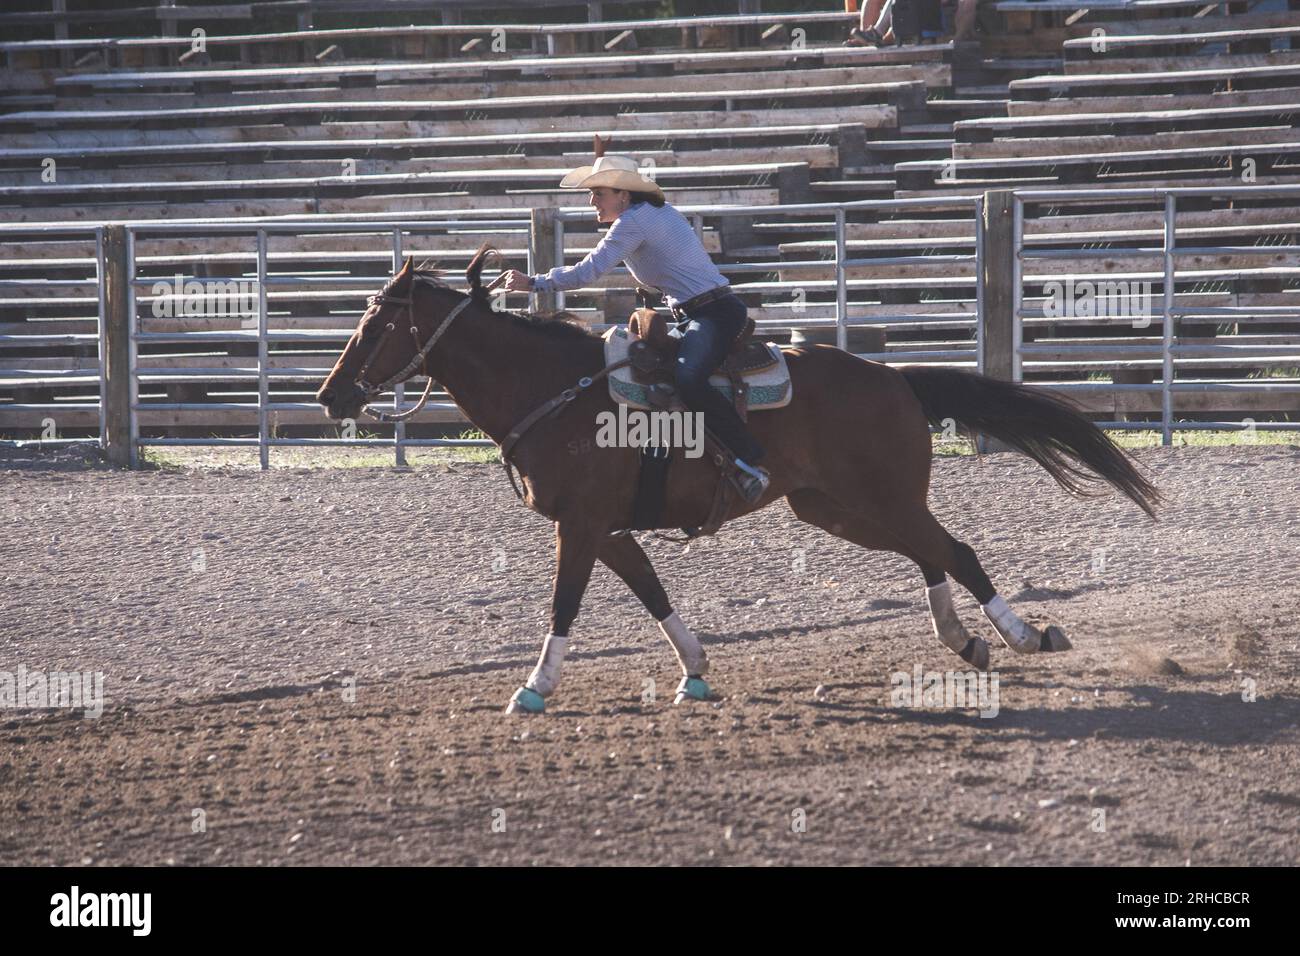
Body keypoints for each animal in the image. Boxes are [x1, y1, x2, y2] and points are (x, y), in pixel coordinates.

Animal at [314, 251, 1159, 712]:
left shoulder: (580, 526)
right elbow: (653, 595)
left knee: (958, 550)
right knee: (933, 553)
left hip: (878, 498)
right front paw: (694, 673)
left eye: (375, 325)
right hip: (837, 509)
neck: (554, 388)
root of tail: (893, 376)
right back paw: (967, 641)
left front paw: (533, 688)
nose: (332, 395)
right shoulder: (608, 528)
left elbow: (563, 606)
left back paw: (1023, 635)